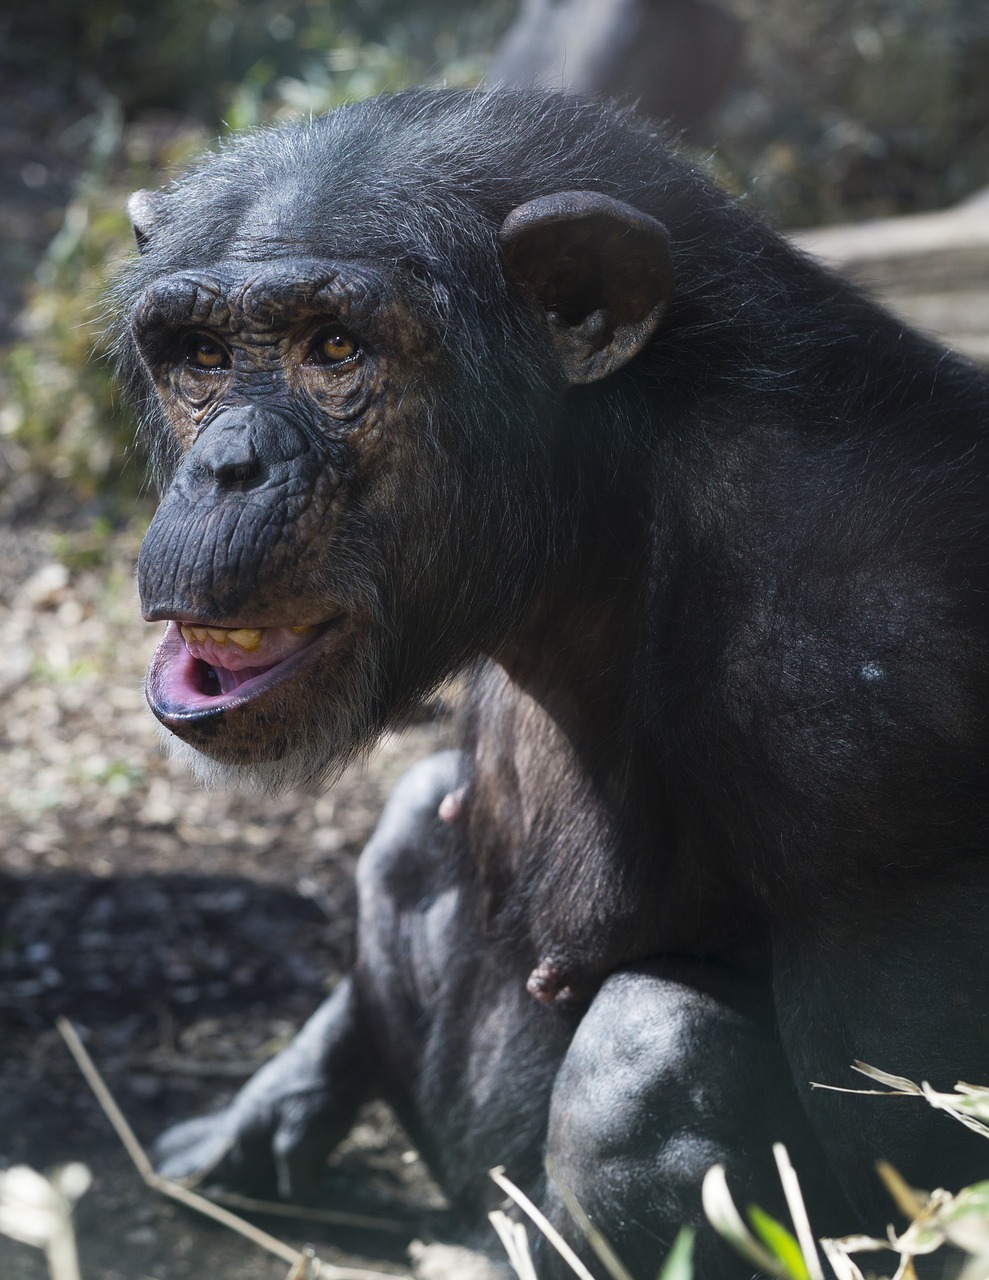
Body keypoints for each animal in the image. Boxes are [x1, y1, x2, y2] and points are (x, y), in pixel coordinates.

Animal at [117, 87, 989, 1269]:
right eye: (201, 356)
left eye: (333, 346)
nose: (225, 468)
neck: (614, 497)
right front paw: (267, 1100)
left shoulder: (877, 716)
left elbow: (921, 1178)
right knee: (409, 825)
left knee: (644, 1058)